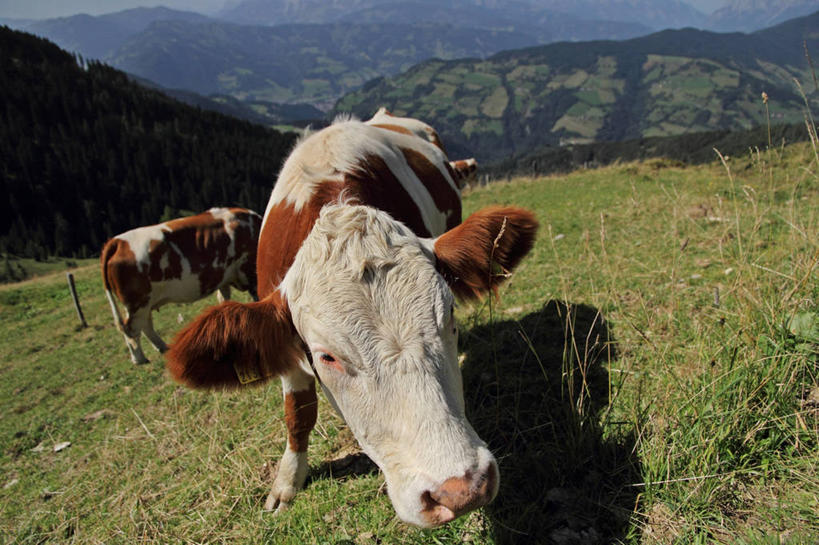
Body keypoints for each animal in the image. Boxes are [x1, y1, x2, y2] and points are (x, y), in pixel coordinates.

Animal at [100, 206, 260, 364]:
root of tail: (118, 241)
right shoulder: (250, 270)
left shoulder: (224, 279)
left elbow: (224, 301)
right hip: (138, 302)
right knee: (131, 328)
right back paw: (139, 359)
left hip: (142, 303)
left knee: (145, 325)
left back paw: (163, 347)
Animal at [166, 111, 540, 528]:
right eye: (327, 357)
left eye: (450, 316)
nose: (461, 490)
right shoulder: (287, 355)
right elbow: (298, 414)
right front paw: (287, 482)